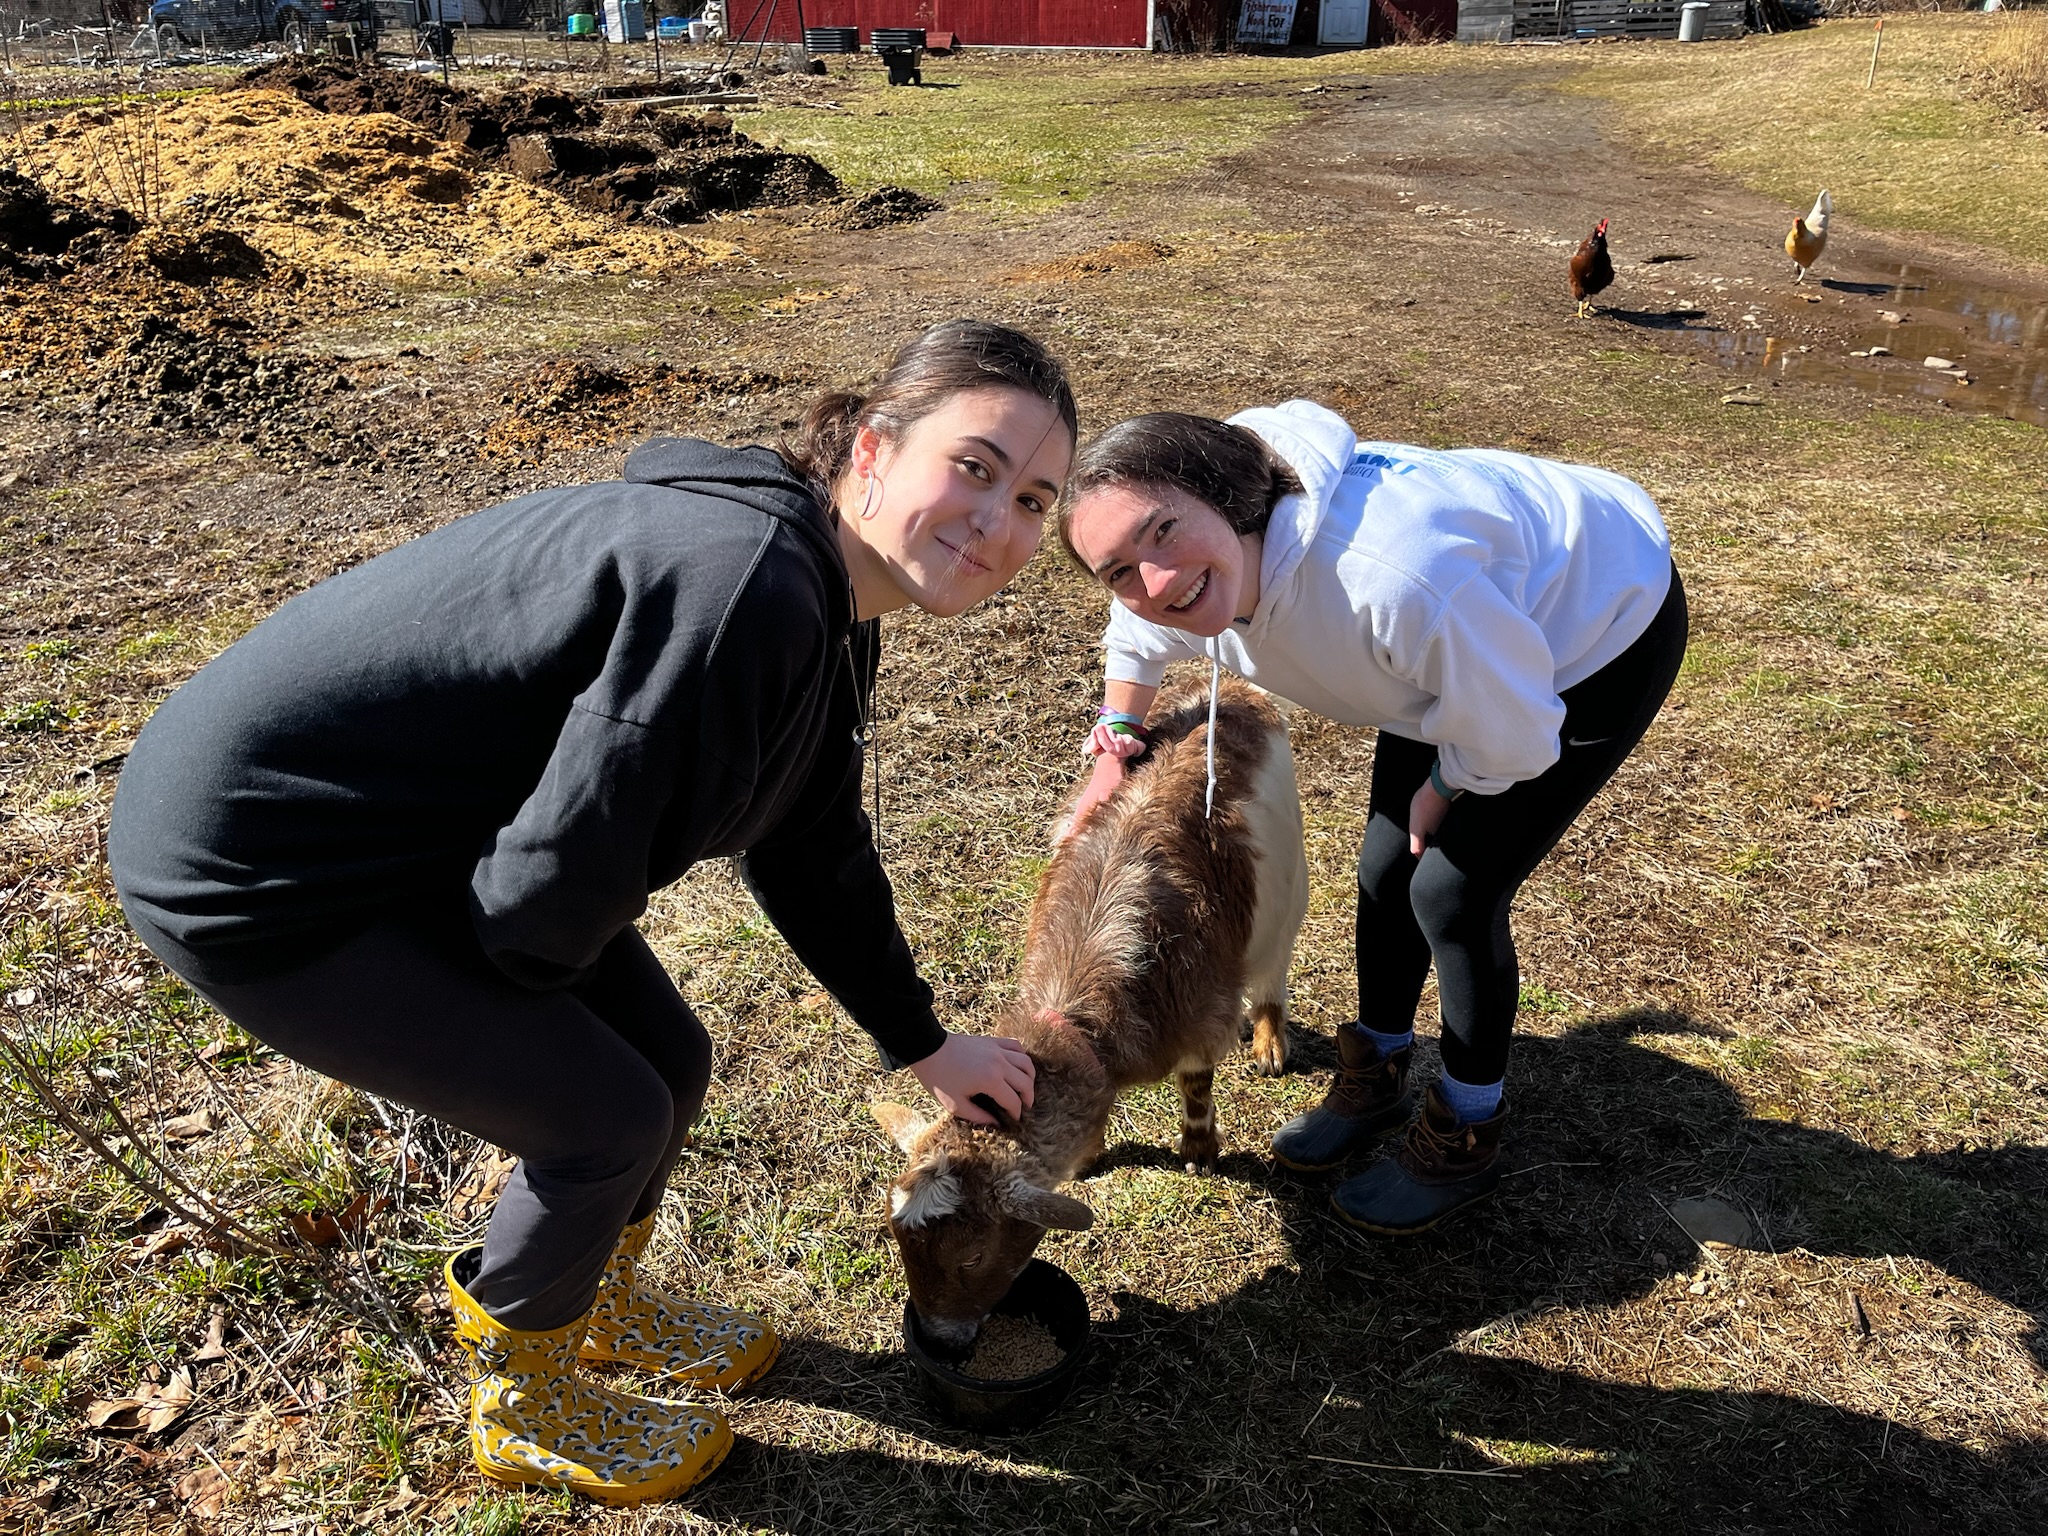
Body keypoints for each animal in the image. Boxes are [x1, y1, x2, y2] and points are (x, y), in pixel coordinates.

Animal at [873, 675, 1310, 1346]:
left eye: (973, 1256)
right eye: (899, 1241)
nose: (942, 1339)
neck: (1080, 1008)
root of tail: (1231, 685)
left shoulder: (1200, 1017)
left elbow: (1197, 1085)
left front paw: (1198, 1154)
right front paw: (1088, 1159)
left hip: (1287, 892)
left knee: (1273, 971)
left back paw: (1267, 1041)